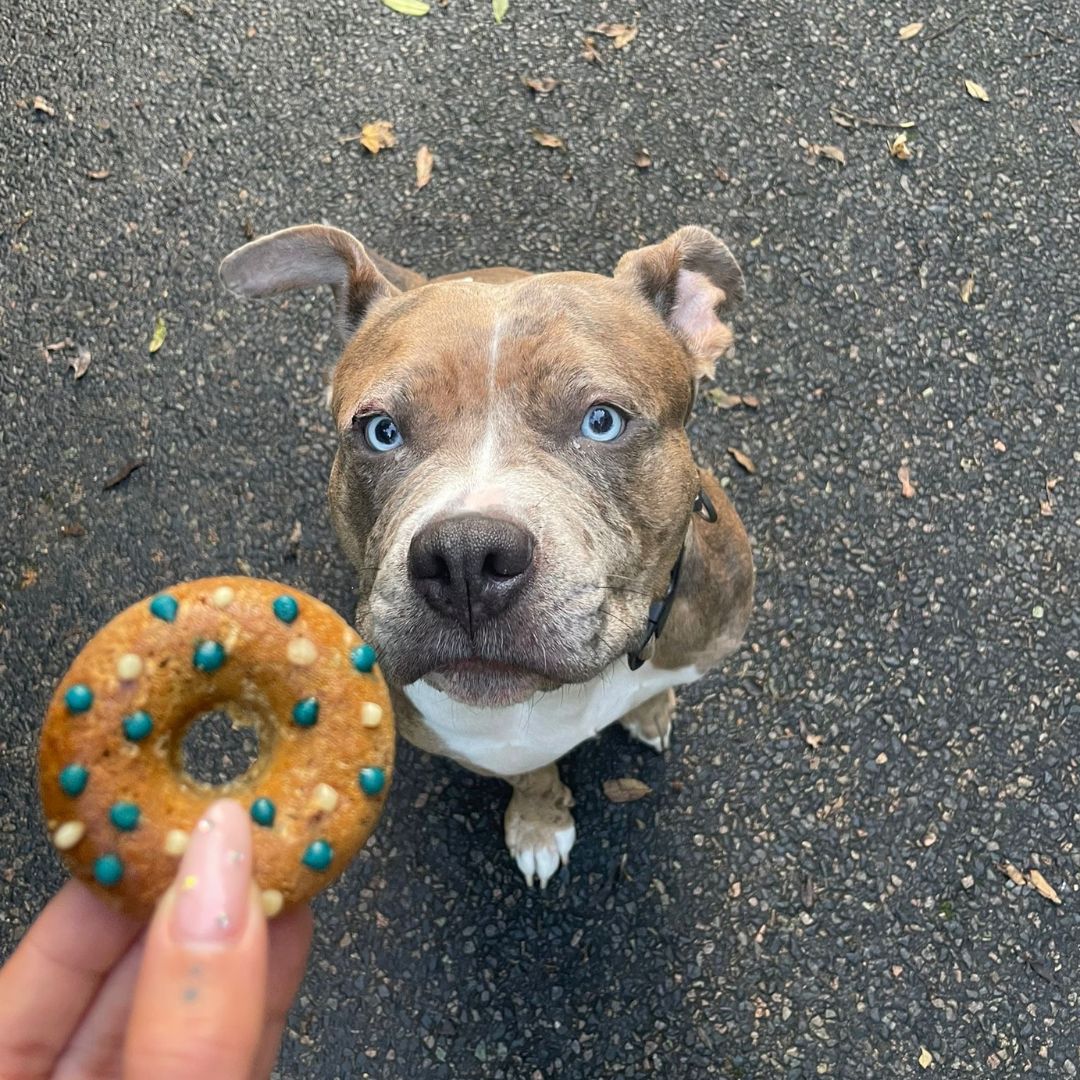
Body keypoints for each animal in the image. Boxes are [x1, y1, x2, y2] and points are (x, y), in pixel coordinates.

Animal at [220, 225, 754, 887]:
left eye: (603, 421)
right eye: (380, 431)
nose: (465, 559)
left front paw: (651, 709)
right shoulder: (484, 747)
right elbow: (532, 775)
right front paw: (539, 824)